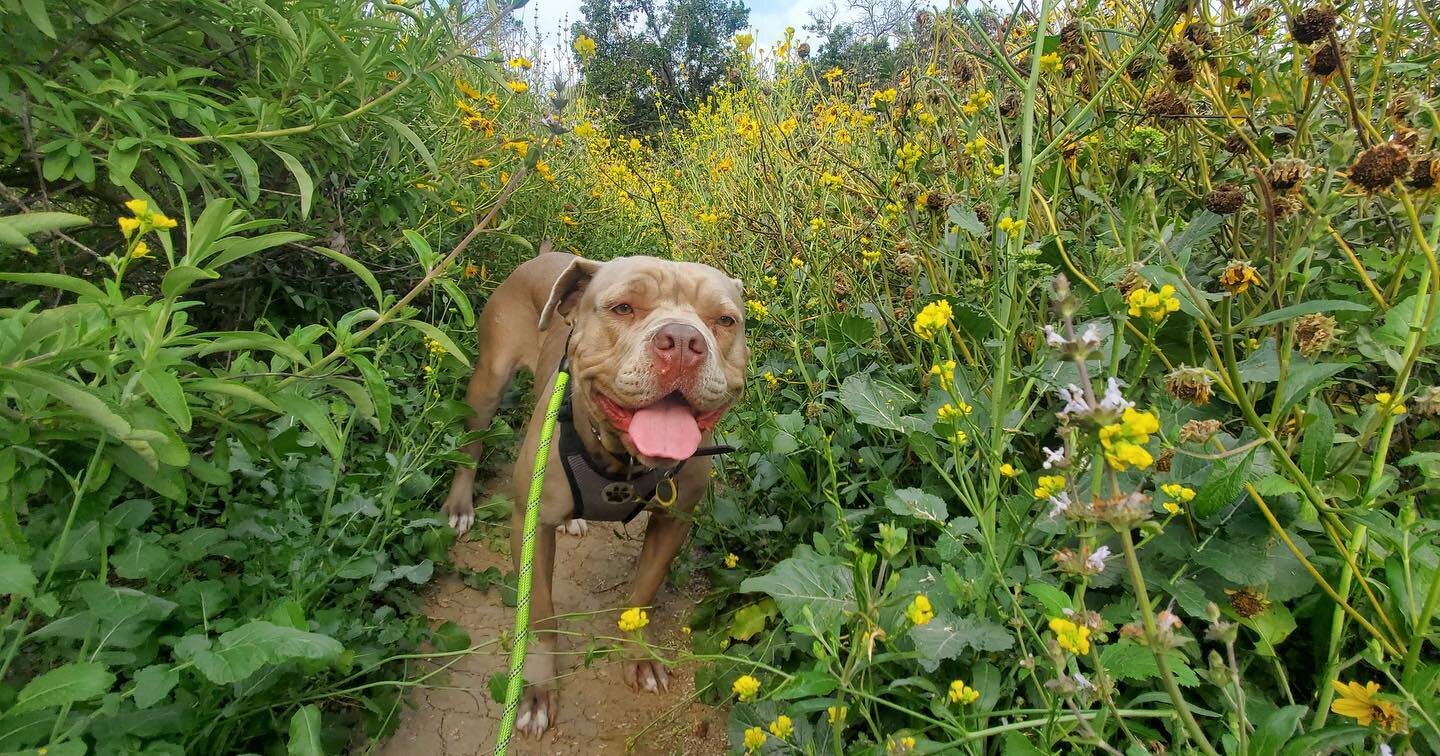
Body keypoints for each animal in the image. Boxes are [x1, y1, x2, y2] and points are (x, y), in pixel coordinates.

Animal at [443, 247, 748, 737]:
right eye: (623, 308)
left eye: (724, 320)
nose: (683, 341)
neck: (623, 460)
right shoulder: (529, 527)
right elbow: (540, 616)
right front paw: (536, 692)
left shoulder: (671, 522)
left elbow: (641, 596)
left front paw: (638, 658)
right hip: (488, 381)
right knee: (471, 444)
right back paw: (459, 504)